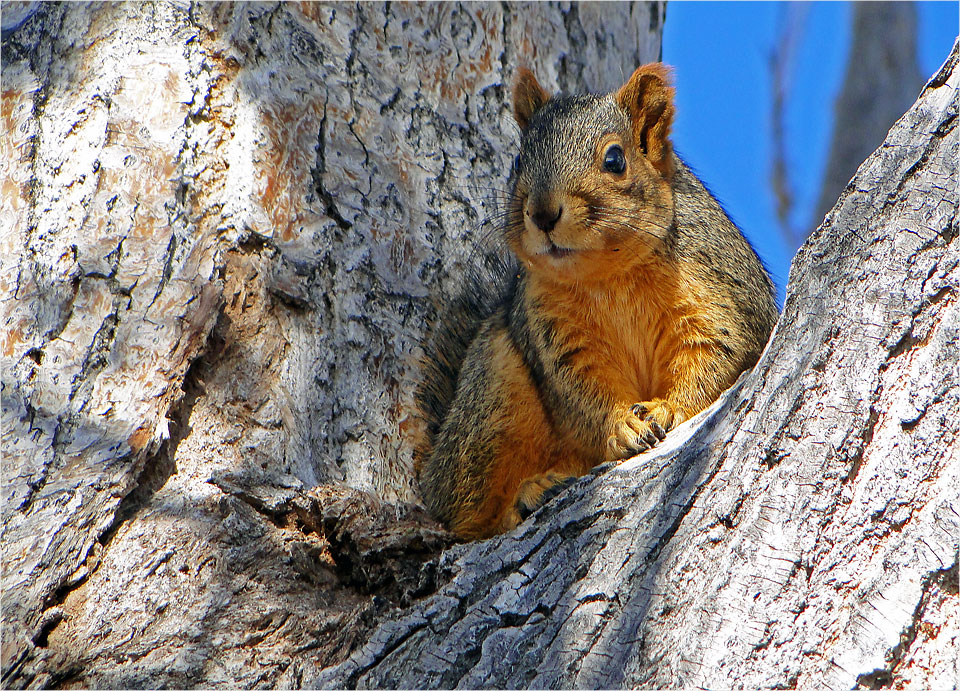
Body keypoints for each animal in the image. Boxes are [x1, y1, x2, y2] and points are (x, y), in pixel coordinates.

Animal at [412, 63, 780, 540]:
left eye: (615, 160)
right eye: (518, 161)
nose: (543, 213)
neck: (609, 274)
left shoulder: (719, 293)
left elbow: (714, 359)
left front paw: (666, 409)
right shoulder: (556, 334)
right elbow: (580, 390)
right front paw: (622, 424)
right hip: (491, 394)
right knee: (465, 517)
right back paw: (531, 495)